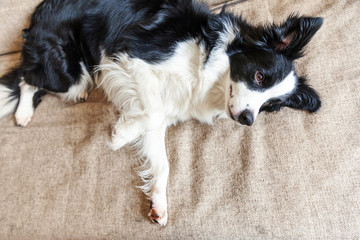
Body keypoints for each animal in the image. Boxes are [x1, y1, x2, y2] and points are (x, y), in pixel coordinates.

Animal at [0, 0, 322, 226]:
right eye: (260, 76)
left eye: (269, 106)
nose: (247, 120)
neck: (212, 66)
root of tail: (42, 10)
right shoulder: (132, 58)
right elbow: (150, 115)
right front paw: (119, 136)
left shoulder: (166, 105)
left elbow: (163, 160)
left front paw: (158, 204)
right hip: (69, 73)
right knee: (27, 77)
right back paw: (23, 113)